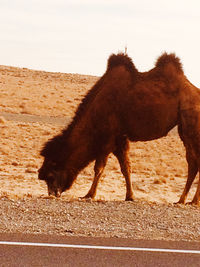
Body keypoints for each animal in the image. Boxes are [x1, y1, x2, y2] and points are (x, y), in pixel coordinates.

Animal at [38, 52, 200, 207]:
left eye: (50, 175)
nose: (53, 193)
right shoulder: (119, 138)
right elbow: (126, 167)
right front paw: (130, 196)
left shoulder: (107, 138)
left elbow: (99, 168)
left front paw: (89, 195)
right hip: (185, 129)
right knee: (194, 162)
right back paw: (185, 200)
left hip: (190, 125)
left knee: (194, 161)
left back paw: (189, 201)